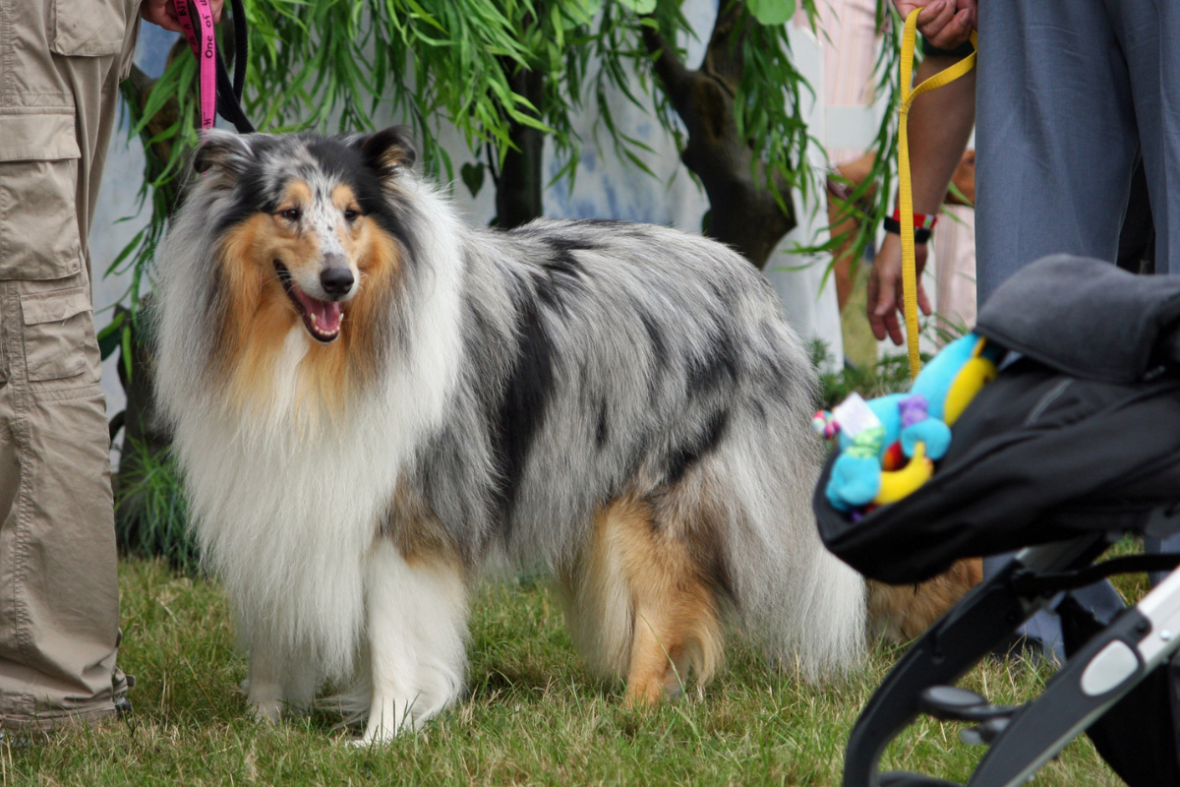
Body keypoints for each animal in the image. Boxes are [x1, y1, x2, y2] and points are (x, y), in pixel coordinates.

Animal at [152, 126, 863, 740]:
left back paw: (631, 715)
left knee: (668, 608)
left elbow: (394, 639)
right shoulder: (280, 498)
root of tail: (753, 286)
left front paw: (383, 734)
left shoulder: (407, 511)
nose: (338, 281)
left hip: (654, 499)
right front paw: (264, 721)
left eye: (353, 214)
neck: (305, 360)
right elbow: (274, 637)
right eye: (288, 211)